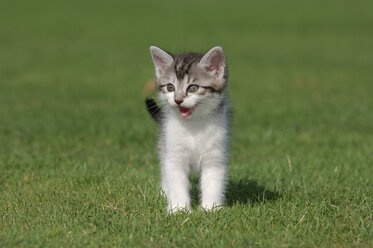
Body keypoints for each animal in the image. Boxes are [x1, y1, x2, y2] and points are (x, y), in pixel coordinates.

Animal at [146, 45, 230, 212]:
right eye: (170, 87)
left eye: (193, 88)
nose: (178, 100)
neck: (193, 125)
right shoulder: (174, 155)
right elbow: (176, 181)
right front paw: (179, 209)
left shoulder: (215, 156)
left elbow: (213, 182)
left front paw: (210, 208)